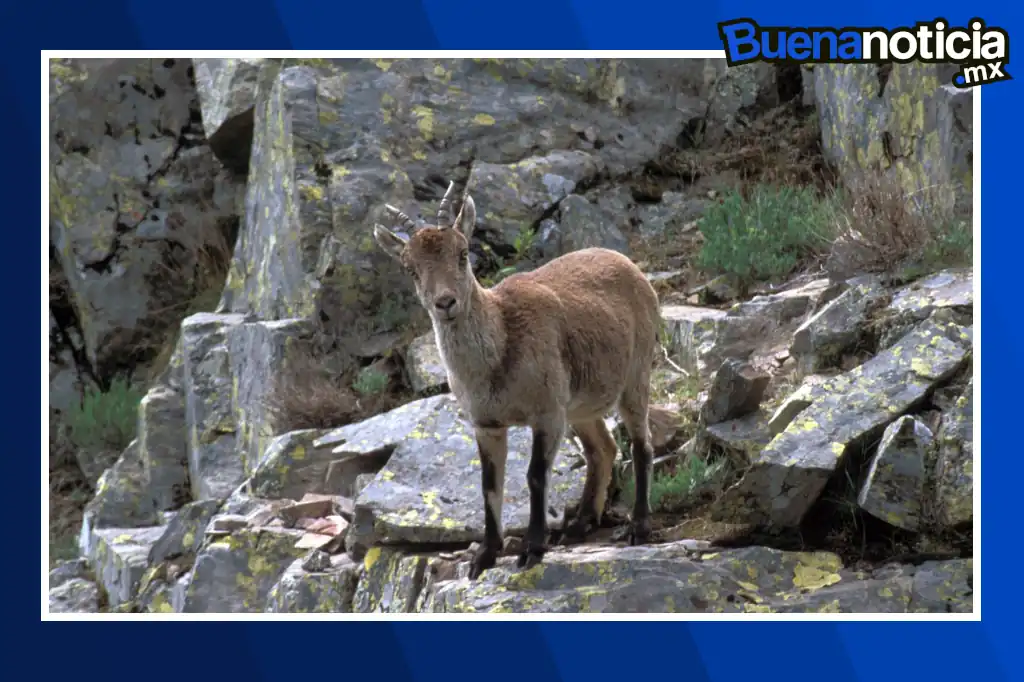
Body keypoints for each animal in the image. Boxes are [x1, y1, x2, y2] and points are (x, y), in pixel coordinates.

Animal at [372, 181, 661, 579]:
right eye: (410, 268)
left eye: (462, 253)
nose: (445, 303)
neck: (502, 346)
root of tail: (629, 265)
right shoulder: (487, 424)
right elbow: (489, 485)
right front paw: (484, 556)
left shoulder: (546, 414)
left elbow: (535, 476)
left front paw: (532, 549)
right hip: (580, 407)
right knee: (602, 449)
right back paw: (580, 523)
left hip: (635, 376)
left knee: (640, 445)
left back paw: (638, 526)